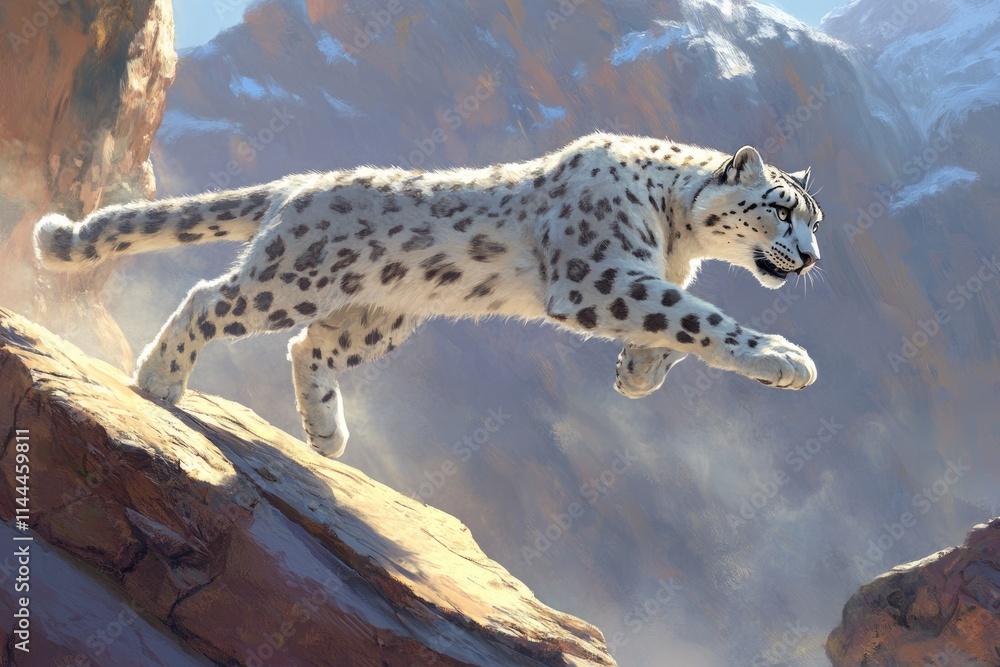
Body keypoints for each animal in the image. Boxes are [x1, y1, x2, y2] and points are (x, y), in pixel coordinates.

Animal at [33, 132, 823, 458]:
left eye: (815, 219)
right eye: (783, 209)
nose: (813, 258)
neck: (680, 240)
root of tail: (302, 182)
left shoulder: (637, 278)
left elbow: (673, 324)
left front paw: (639, 373)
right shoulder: (597, 274)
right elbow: (695, 315)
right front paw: (783, 358)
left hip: (379, 317)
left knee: (311, 344)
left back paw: (327, 434)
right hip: (293, 279)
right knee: (211, 299)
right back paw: (159, 378)